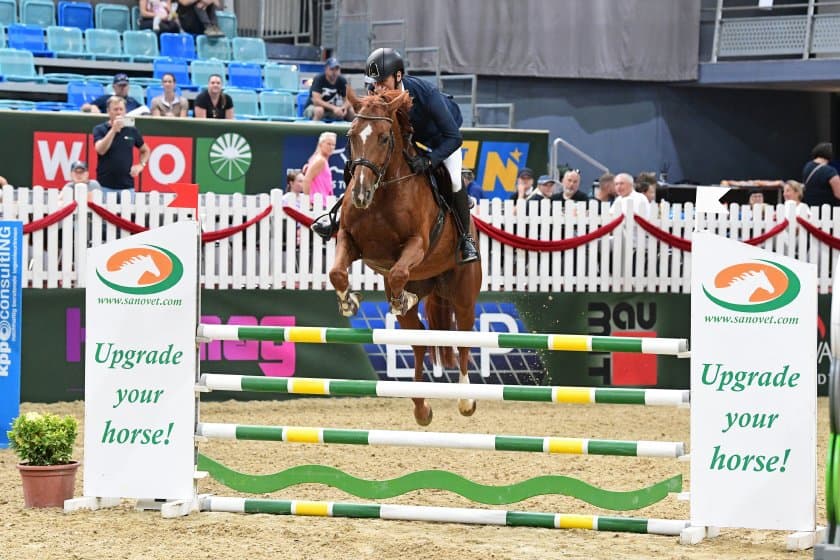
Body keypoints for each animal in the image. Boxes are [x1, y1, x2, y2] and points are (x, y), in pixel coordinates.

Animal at [330, 89, 486, 426]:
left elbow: (399, 272)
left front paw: (400, 298)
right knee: (420, 341)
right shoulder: (348, 239)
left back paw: (466, 399)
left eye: (385, 137)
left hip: (463, 293)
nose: (360, 194)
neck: (383, 191)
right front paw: (349, 302)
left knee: (465, 335)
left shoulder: (417, 244)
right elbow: (337, 273)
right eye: (351, 136)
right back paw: (421, 407)